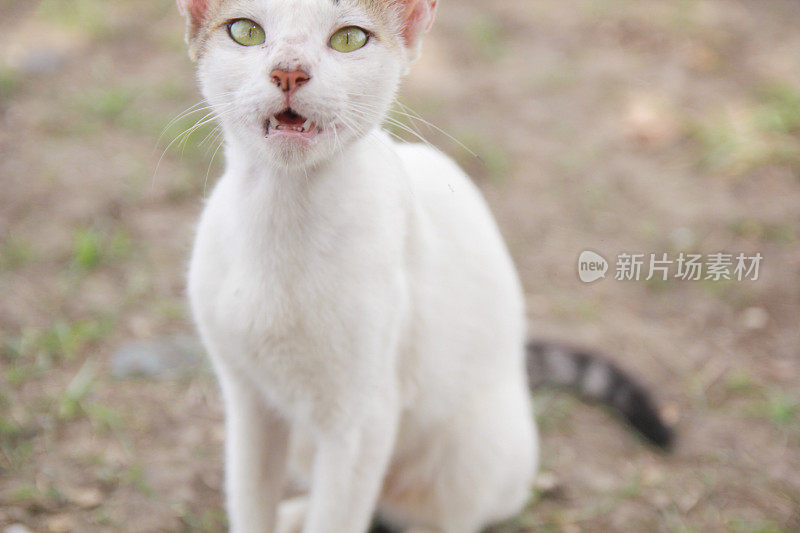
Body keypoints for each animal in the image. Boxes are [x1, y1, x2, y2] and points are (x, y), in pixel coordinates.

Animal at [180, 2, 668, 528]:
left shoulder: (363, 420)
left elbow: (337, 518)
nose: (289, 71)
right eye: (245, 31)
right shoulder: (248, 401)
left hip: (475, 450)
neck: (281, 220)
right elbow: (251, 504)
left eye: (349, 38)